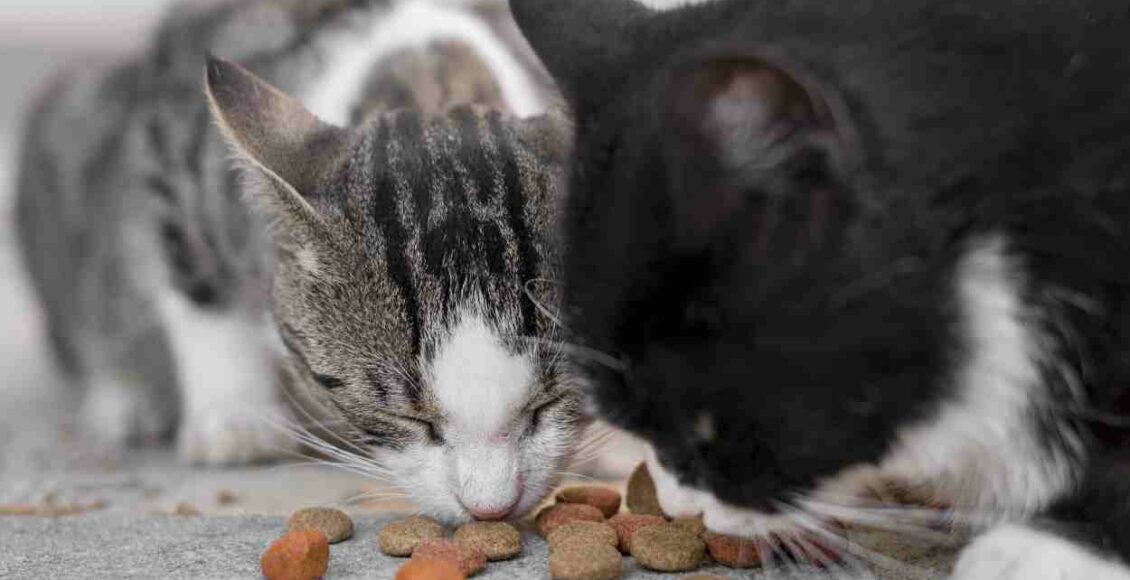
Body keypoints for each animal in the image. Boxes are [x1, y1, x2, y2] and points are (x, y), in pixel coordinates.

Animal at [17, 0, 582, 522]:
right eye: (408, 418)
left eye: (550, 403)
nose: (490, 508)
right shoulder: (171, 141)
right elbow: (196, 275)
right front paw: (236, 416)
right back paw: (127, 396)